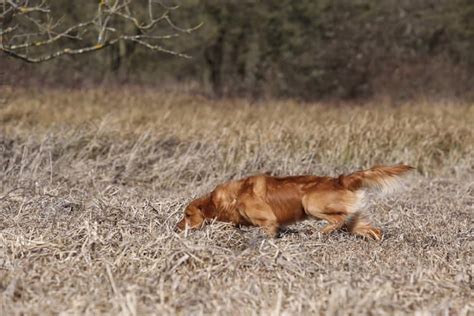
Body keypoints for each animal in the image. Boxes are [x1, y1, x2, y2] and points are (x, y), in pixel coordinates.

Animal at [176, 165, 412, 239]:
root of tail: (341, 179)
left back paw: (318, 234)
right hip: (355, 221)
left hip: (310, 203)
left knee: (338, 220)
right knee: (372, 229)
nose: (176, 228)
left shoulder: (269, 221)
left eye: (187, 215)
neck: (230, 199)